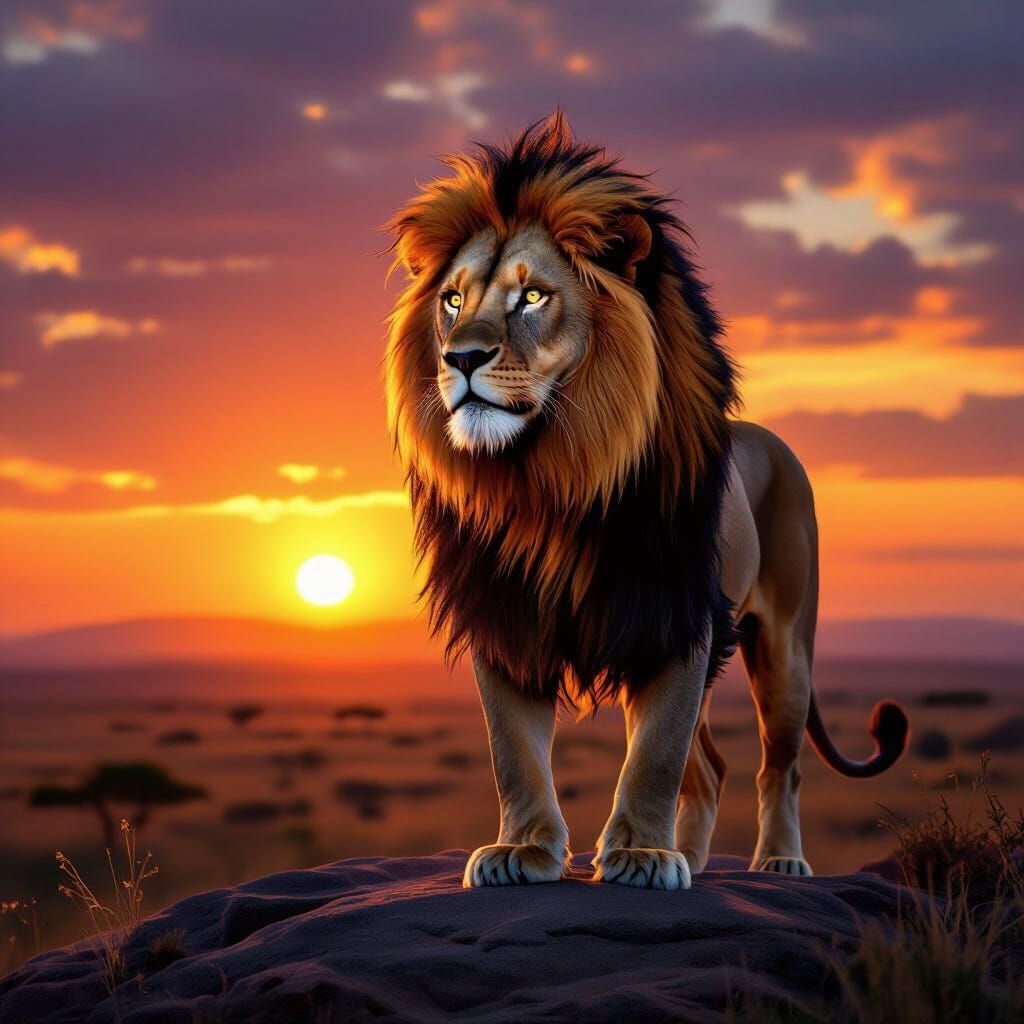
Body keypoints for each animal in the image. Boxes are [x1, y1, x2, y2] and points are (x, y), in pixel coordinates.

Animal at [384, 112, 909, 890]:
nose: (460, 358)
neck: (550, 477)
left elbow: (656, 753)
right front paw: (525, 850)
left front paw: (638, 855)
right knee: (711, 770)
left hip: (784, 648)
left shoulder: (677, 616)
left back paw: (778, 860)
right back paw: (692, 857)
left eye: (532, 297)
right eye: (453, 300)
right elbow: (514, 752)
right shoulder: (504, 616)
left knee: (777, 767)